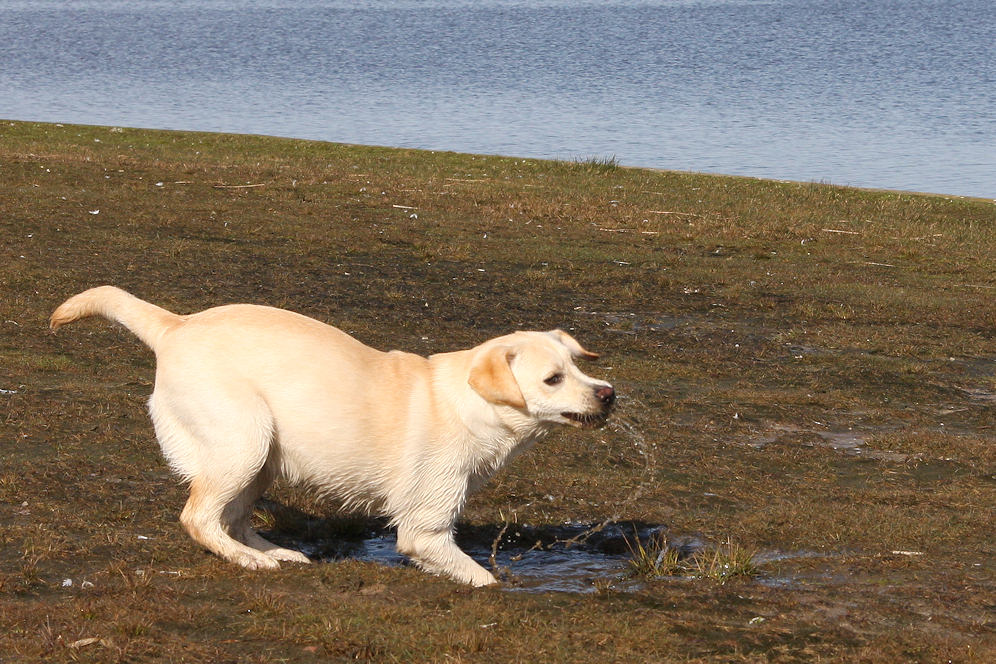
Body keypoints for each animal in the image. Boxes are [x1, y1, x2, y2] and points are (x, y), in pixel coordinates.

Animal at [54, 286, 620, 588]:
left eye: (578, 363)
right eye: (553, 379)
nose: (609, 393)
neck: (472, 406)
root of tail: (176, 326)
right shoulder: (426, 529)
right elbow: (480, 576)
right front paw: (492, 583)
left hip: (262, 458)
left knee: (231, 517)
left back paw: (274, 552)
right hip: (244, 442)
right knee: (198, 518)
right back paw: (250, 560)